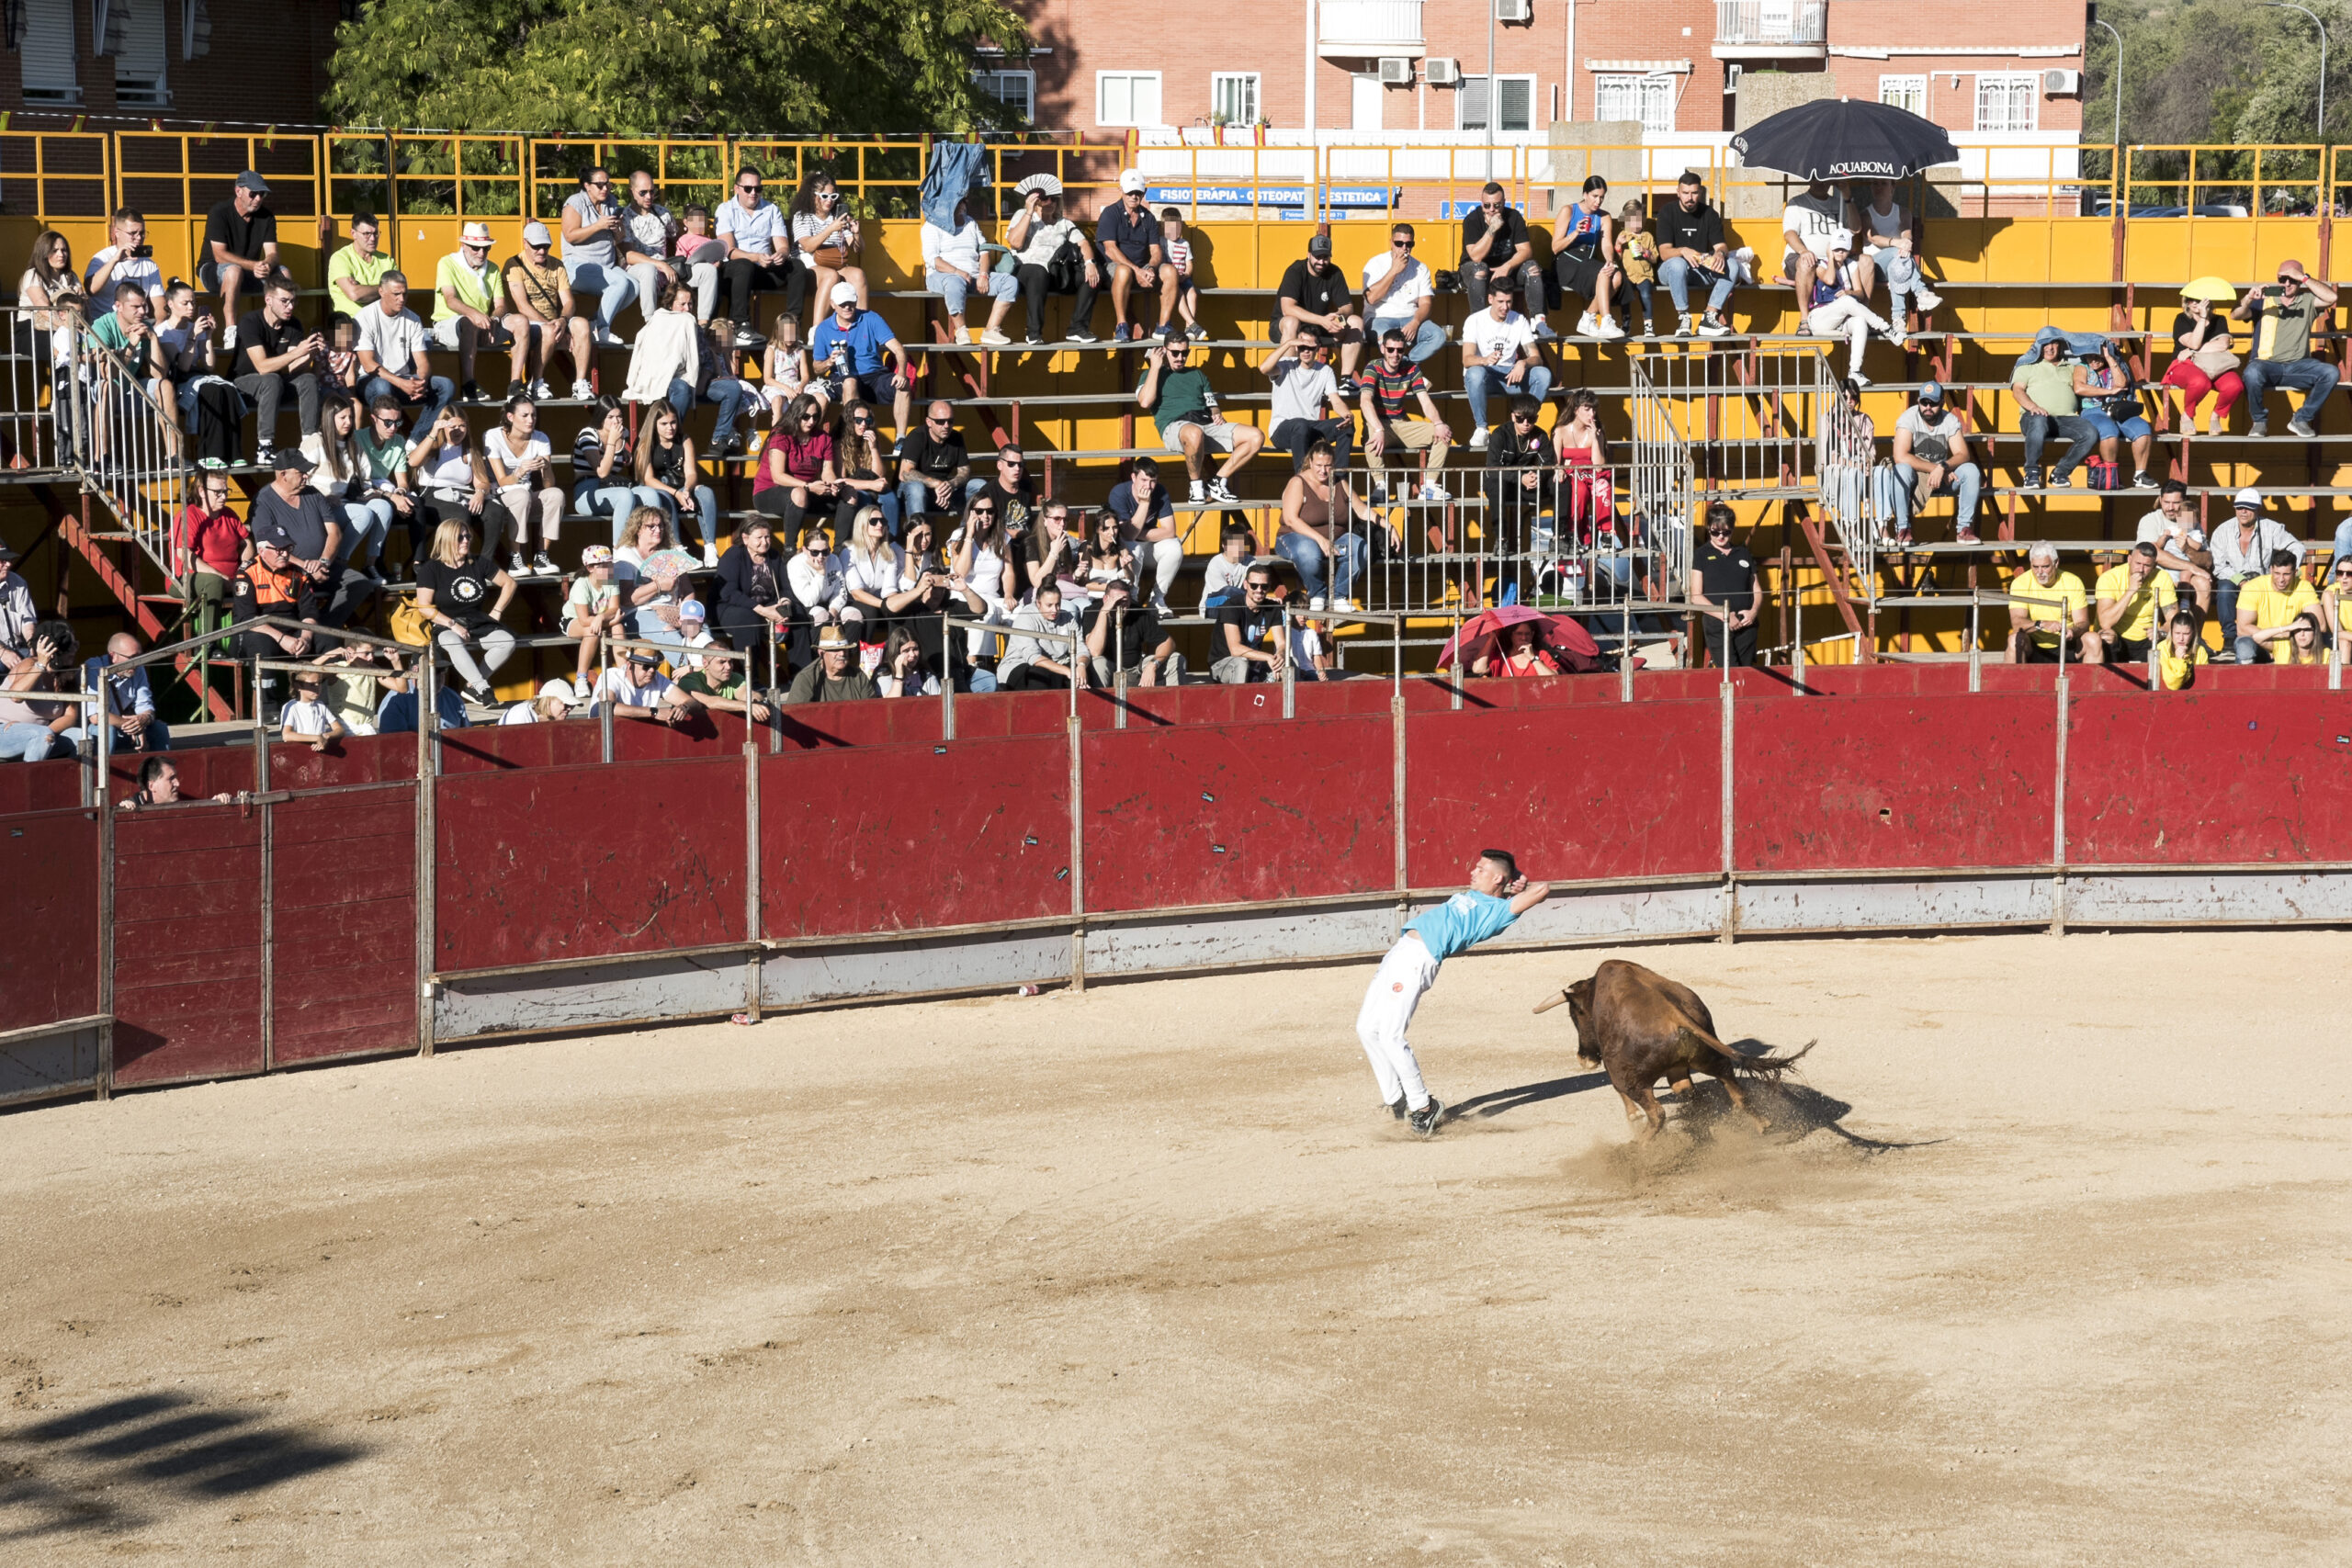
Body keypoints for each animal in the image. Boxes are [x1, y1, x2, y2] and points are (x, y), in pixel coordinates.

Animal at [1523, 959, 1815, 1142]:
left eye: (1576, 1015)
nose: (1584, 1059)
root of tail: (1675, 1015)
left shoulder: (1617, 1068)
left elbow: (1622, 1094)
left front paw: (1633, 1119)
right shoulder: (1677, 1070)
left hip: (1632, 1079)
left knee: (1656, 1113)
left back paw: (1638, 1146)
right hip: (1711, 1060)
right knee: (1736, 1091)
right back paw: (1763, 1124)